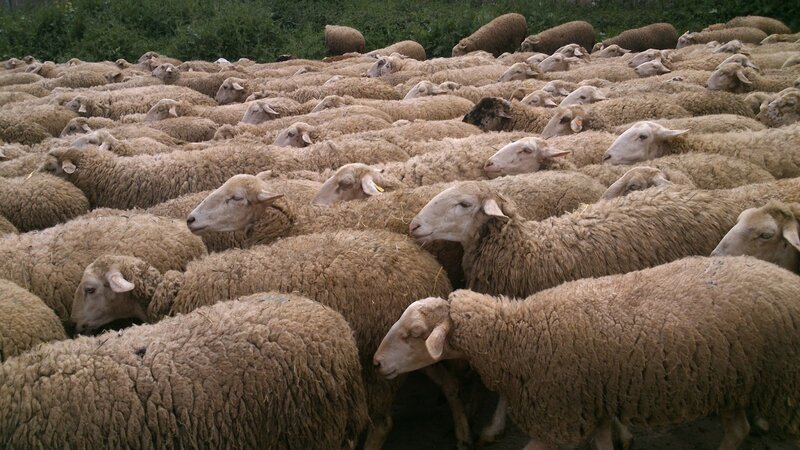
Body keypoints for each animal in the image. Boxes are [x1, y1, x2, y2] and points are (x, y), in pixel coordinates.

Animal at [73, 230, 452, 449]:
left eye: (90, 289)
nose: (74, 323)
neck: (173, 291)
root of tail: (430, 269)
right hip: (413, 351)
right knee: (449, 385)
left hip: (378, 362)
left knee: (382, 423)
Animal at [373, 256, 800, 450]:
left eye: (414, 334)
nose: (375, 363)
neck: (518, 332)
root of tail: (785, 278)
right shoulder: (593, 403)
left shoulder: (559, 414)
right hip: (732, 380)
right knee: (738, 429)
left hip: (780, 383)